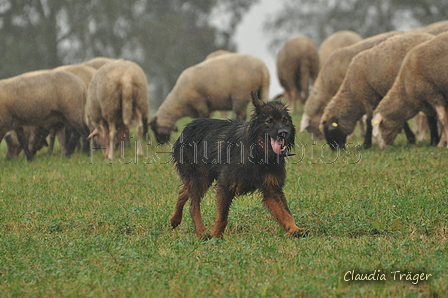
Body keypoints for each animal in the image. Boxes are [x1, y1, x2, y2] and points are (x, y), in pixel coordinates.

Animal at [170, 92, 310, 239]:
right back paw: (201, 231)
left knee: (183, 191)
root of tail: (187, 128)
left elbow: (285, 212)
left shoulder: (271, 188)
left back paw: (175, 220)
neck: (258, 154)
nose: (283, 133)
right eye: (269, 121)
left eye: (285, 120)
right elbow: (222, 217)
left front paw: (295, 229)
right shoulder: (226, 185)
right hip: (199, 178)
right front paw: (216, 236)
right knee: (193, 206)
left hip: (204, 178)